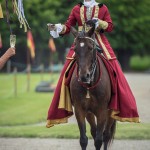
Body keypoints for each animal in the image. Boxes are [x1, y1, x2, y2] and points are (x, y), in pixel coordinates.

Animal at [69, 22, 116, 150]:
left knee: (106, 135)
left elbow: (99, 140)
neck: (89, 86)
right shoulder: (80, 110)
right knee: (94, 132)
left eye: (90, 48)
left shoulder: (102, 111)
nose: (84, 76)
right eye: (75, 49)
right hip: (90, 113)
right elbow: (84, 139)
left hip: (111, 112)